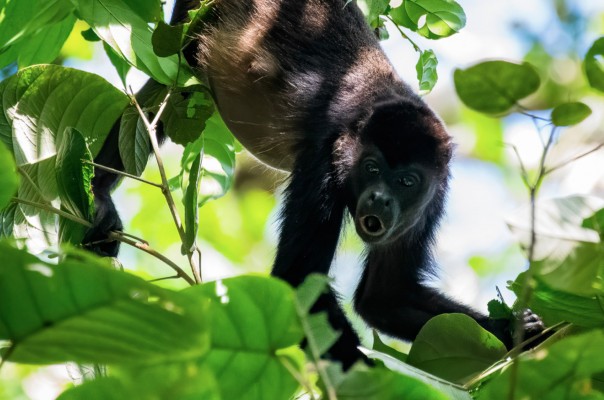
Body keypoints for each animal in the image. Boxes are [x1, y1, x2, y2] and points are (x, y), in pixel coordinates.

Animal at [87, 0, 544, 368]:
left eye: (406, 181)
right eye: (372, 169)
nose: (380, 198)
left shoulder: (436, 194)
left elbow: (384, 295)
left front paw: (517, 330)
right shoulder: (324, 161)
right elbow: (299, 276)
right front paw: (371, 379)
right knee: (171, 81)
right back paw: (99, 191)